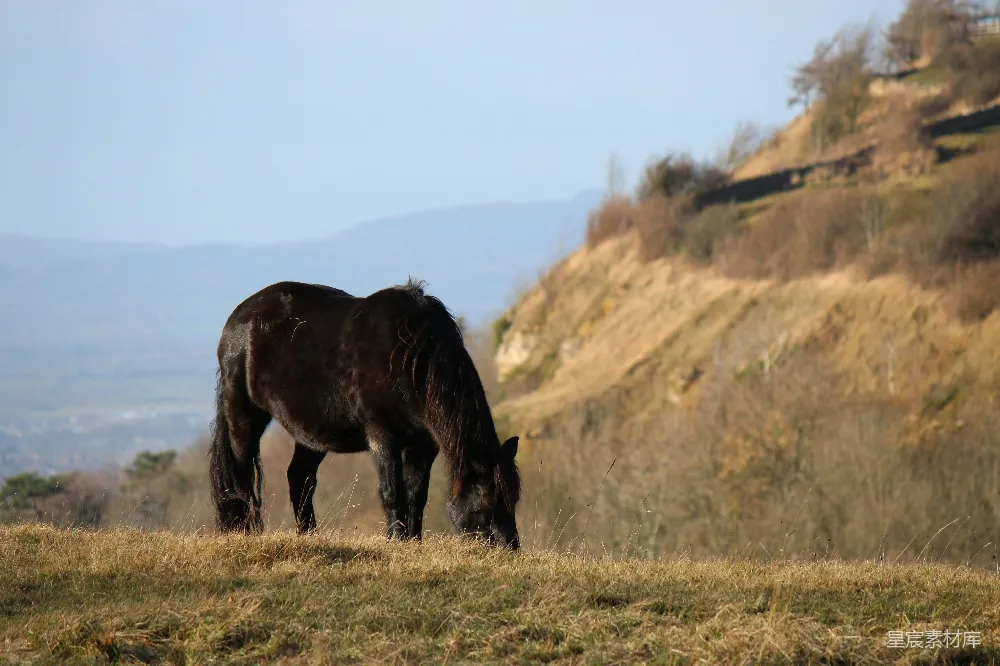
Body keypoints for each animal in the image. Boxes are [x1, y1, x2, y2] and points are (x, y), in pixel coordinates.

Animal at [208, 279, 521, 549]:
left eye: (514, 499)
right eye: (486, 500)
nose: (511, 548)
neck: (409, 356)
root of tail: (238, 318)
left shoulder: (423, 445)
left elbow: (416, 495)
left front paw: (413, 542)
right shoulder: (382, 436)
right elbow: (392, 492)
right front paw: (397, 541)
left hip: (312, 435)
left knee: (300, 478)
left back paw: (309, 535)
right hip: (242, 415)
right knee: (239, 474)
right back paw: (239, 531)